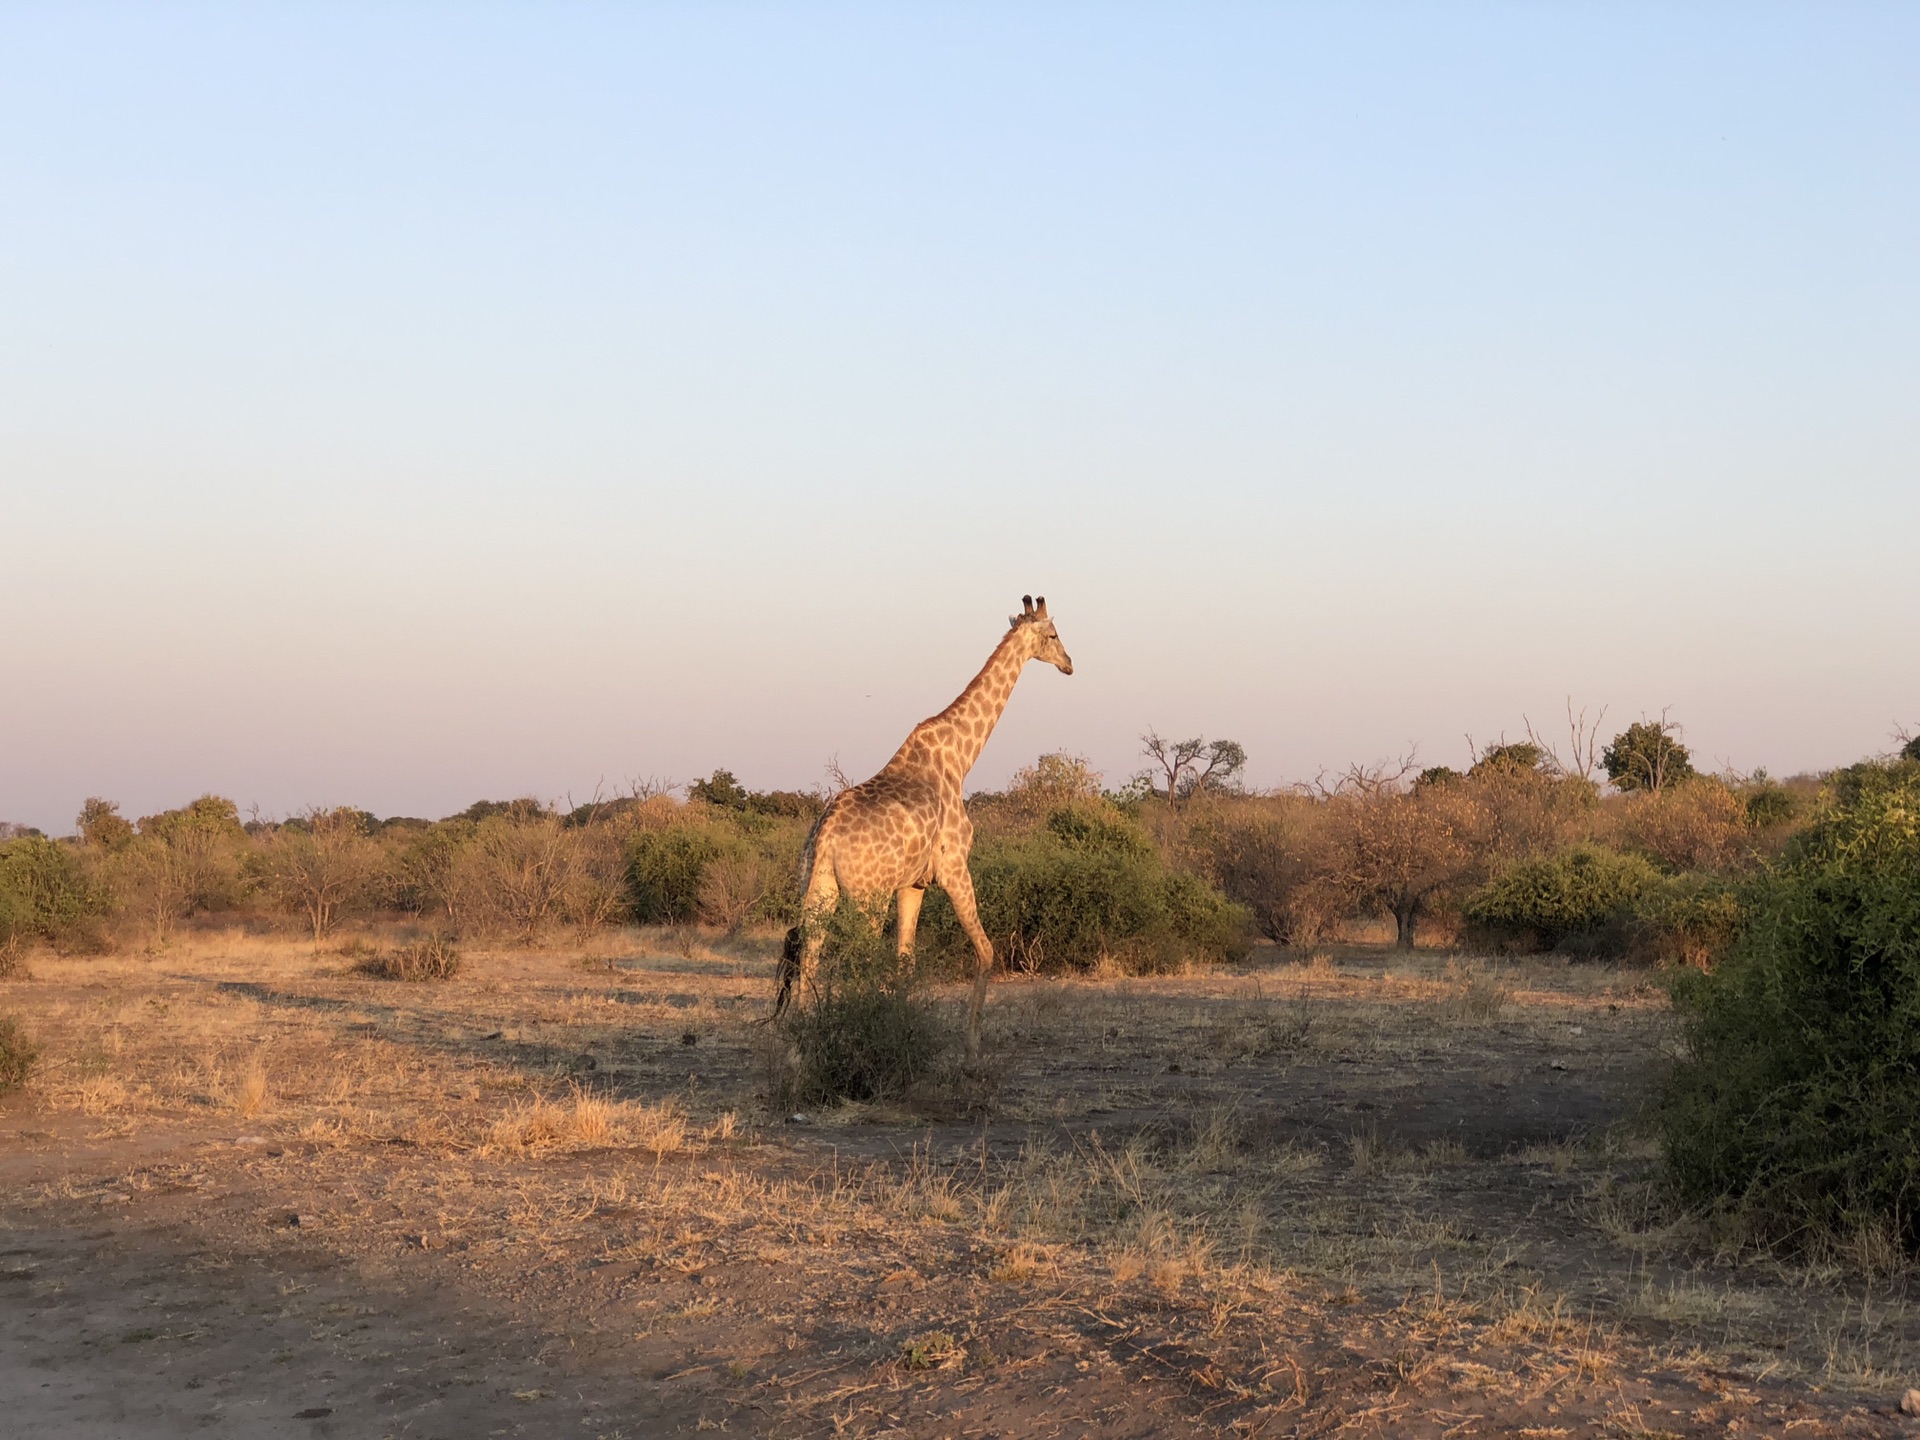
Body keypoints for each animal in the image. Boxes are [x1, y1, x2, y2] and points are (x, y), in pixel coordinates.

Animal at [779, 591, 1082, 1052]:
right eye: (1053, 634)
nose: (1069, 663)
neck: (960, 756)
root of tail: (825, 836)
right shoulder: (955, 867)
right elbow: (986, 951)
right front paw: (972, 1045)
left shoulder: (913, 883)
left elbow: (906, 960)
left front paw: (902, 1027)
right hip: (867, 896)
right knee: (857, 957)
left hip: (817, 887)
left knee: (810, 953)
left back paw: (799, 1047)